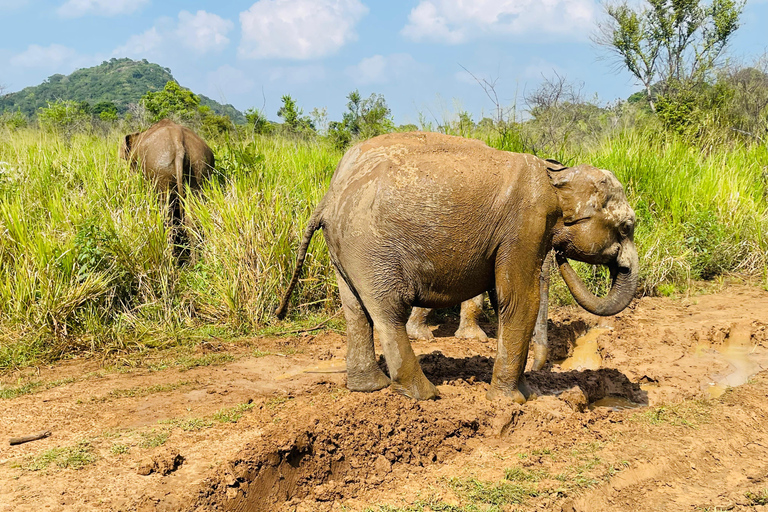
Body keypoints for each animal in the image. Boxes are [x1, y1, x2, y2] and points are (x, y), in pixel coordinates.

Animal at [120, 119, 216, 256]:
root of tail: (178, 143)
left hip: (161, 171)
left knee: (167, 215)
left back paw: (170, 257)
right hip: (200, 166)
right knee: (192, 216)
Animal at [274, 132, 636, 404]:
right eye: (626, 227)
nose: (560, 255)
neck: (558, 175)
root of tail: (330, 197)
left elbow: (503, 297)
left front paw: (524, 395)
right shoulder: (526, 224)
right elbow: (518, 298)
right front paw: (512, 402)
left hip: (344, 247)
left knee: (356, 310)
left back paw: (371, 388)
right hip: (370, 247)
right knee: (388, 309)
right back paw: (424, 395)